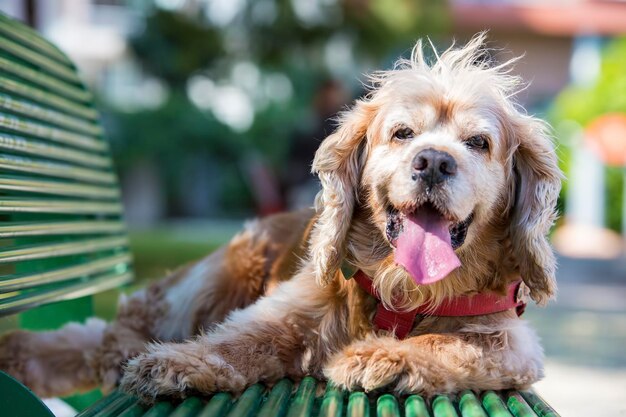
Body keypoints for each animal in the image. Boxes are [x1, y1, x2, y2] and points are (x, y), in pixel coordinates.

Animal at [0, 34, 560, 402]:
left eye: (478, 143)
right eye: (402, 134)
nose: (434, 162)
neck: (401, 291)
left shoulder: (511, 343)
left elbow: (453, 343)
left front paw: (382, 357)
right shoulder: (288, 310)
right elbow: (236, 341)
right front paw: (175, 364)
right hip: (218, 274)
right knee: (110, 334)